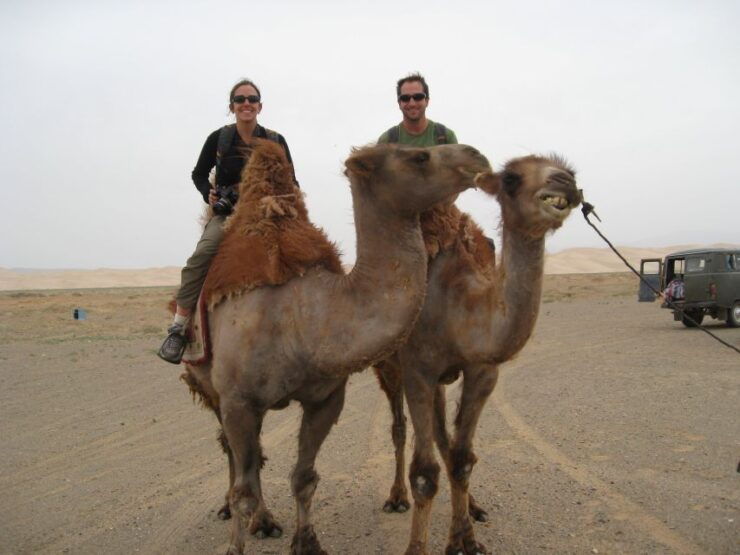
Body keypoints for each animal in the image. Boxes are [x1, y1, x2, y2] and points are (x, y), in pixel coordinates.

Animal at [181, 140, 491, 555]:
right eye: (419, 157)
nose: (477, 156)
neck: (304, 319)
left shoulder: (326, 398)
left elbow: (304, 477)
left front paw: (308, 543)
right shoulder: (238, 401)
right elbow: (244, 491)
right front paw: (237, 543)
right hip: (211, 389)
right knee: (233, 455)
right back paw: (247, 515)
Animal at [373, 154, 582, 555]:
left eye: (571, 172)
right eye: (511, 178)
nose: (564, 183)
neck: (459, 304)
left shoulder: (483, 371)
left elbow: (462, 459)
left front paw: (464, 540)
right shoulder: (418, 370)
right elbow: (425, 474)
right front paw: (418, 546)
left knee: (444, 439)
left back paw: (474, 506)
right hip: (387, 368)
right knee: (399, 429)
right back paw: (395, 497)